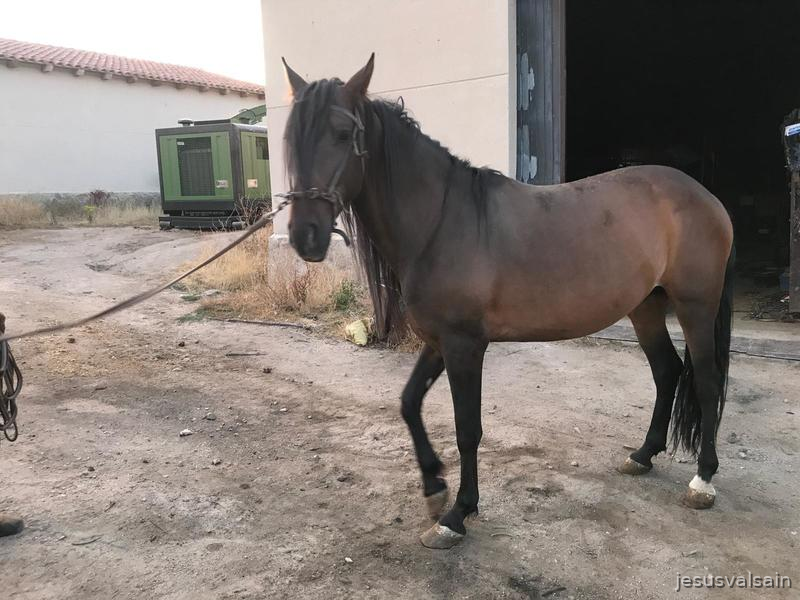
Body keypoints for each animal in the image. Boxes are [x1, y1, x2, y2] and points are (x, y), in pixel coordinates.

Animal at [280, 55, 734, 549]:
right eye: (290, 139)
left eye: (343, 134)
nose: (305, 236)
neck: (441, 222)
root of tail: (707, 198)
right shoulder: (440, 341)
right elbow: (408, 403)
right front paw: (434, 487)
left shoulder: (464, 346)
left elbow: (467, 429)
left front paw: (457, 514)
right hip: (645, 306)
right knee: (667, 371)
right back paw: (643, 455)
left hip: (694, 306)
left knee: (706, 381)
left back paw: (704, 480)